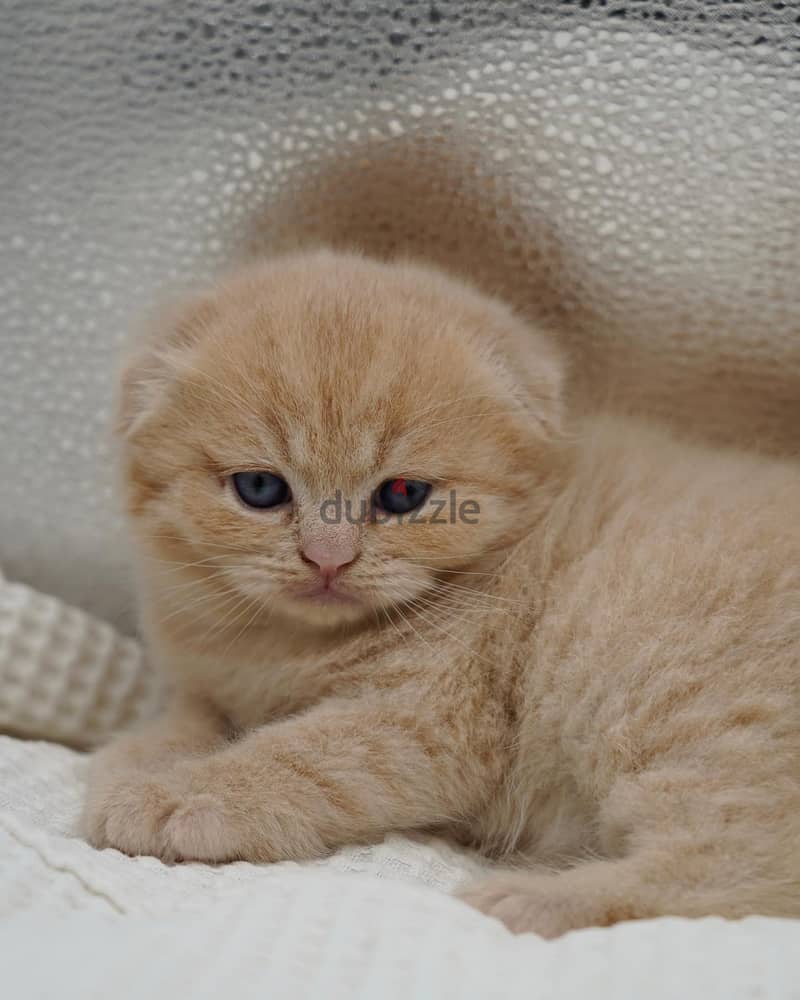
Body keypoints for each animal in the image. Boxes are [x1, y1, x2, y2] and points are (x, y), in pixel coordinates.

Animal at [83, 248, 800, 936]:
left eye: (403, 495)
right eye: (260, 489)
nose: (328, 558)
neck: (286, 648)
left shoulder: (427, 722)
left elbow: (296, 755)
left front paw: (172, 797)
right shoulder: (213, 680)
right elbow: (191, 718)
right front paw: (130, 761)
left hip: (669, 704)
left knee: (738, 869)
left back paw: (532, 902)